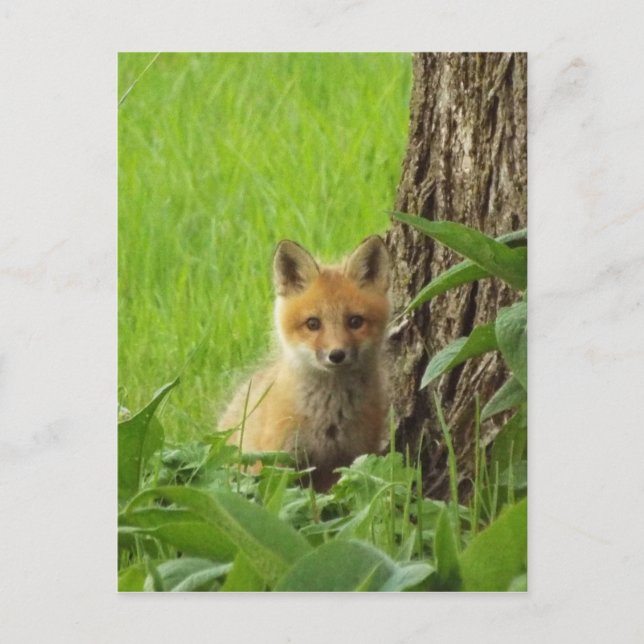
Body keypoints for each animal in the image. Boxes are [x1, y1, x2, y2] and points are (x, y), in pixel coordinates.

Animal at [218, 235, 391, 491]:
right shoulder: (276, 460)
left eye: (355, 321)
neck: (329, 418)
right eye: (313, 324)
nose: (336, 355)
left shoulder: (349, 461)